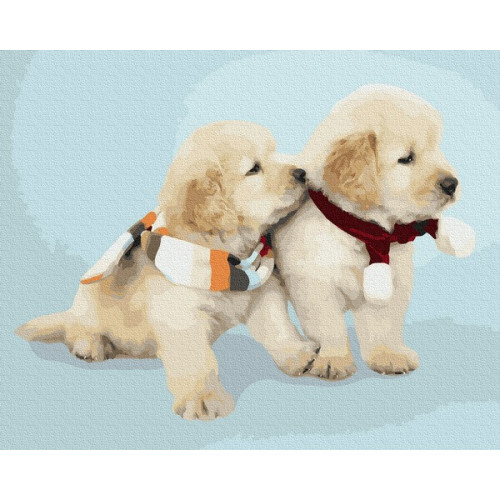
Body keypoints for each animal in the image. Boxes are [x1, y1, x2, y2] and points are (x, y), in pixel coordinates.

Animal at [17, 121, 318, 420]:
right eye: (254, 168)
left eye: (275, 153)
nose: (302, 173)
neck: (225, 257)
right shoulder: (180, 315)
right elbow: (196, 360)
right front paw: (203, 398)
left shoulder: (262, 294)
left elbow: (279, 327)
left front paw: (300, 355)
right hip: (88, 302)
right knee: (77, 327)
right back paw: (91, 344)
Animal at [274, 85, 462, 378]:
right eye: (406, 158)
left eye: (436, 149)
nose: (452, 184)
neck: (365, 232)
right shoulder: (314, 284)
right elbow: (329, 327)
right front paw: (334, 360)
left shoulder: (391, 281)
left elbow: (381, 326)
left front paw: (387, 356)